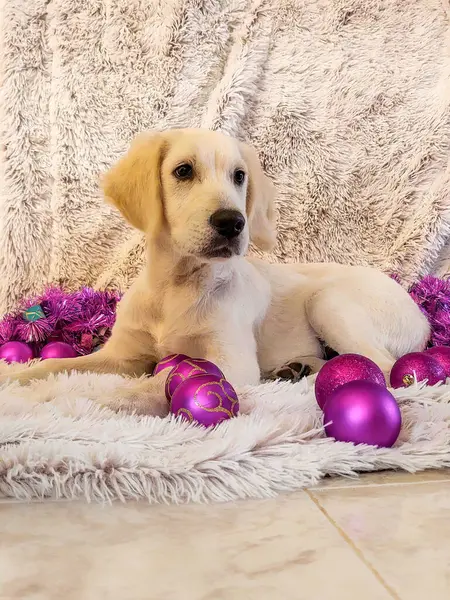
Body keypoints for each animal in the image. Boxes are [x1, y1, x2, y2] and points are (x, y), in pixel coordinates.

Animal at [1, 129, 430, 414]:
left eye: (239, 176)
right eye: (183, 171)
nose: (232, 223)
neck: (177, 285)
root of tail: (423, 316)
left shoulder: (232, 361)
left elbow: (158, 381)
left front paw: (73, 397)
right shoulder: (123, 355)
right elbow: (56, 364)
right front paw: (14, 377)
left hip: (329, 301)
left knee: (381, 367)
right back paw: (296, 368)